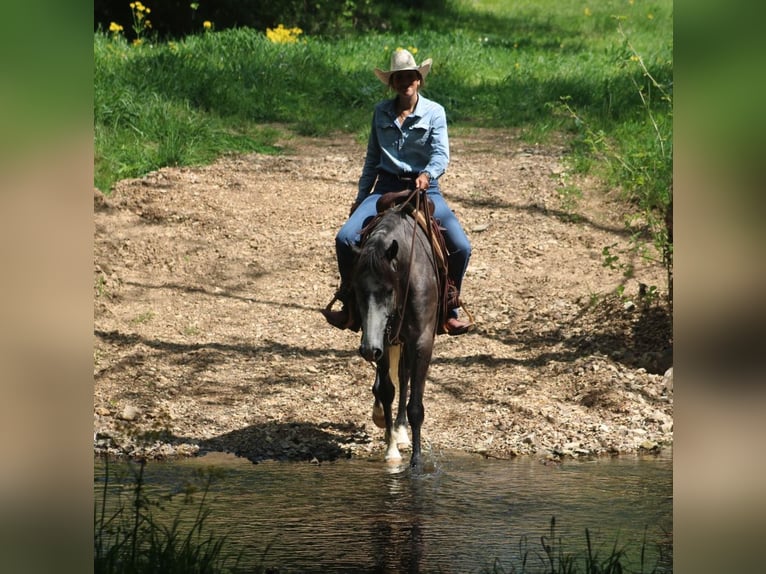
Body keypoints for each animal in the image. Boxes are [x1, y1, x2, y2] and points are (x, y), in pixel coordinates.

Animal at [352, 198, 440, 467]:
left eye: (389, 290)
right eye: (356, 289)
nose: (368, 350)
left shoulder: (422, 341)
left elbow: (416, 406)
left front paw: (417, 462)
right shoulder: (380, 338)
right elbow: (386, 390)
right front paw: (391, 451)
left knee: (405, 376)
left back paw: (401, 431)